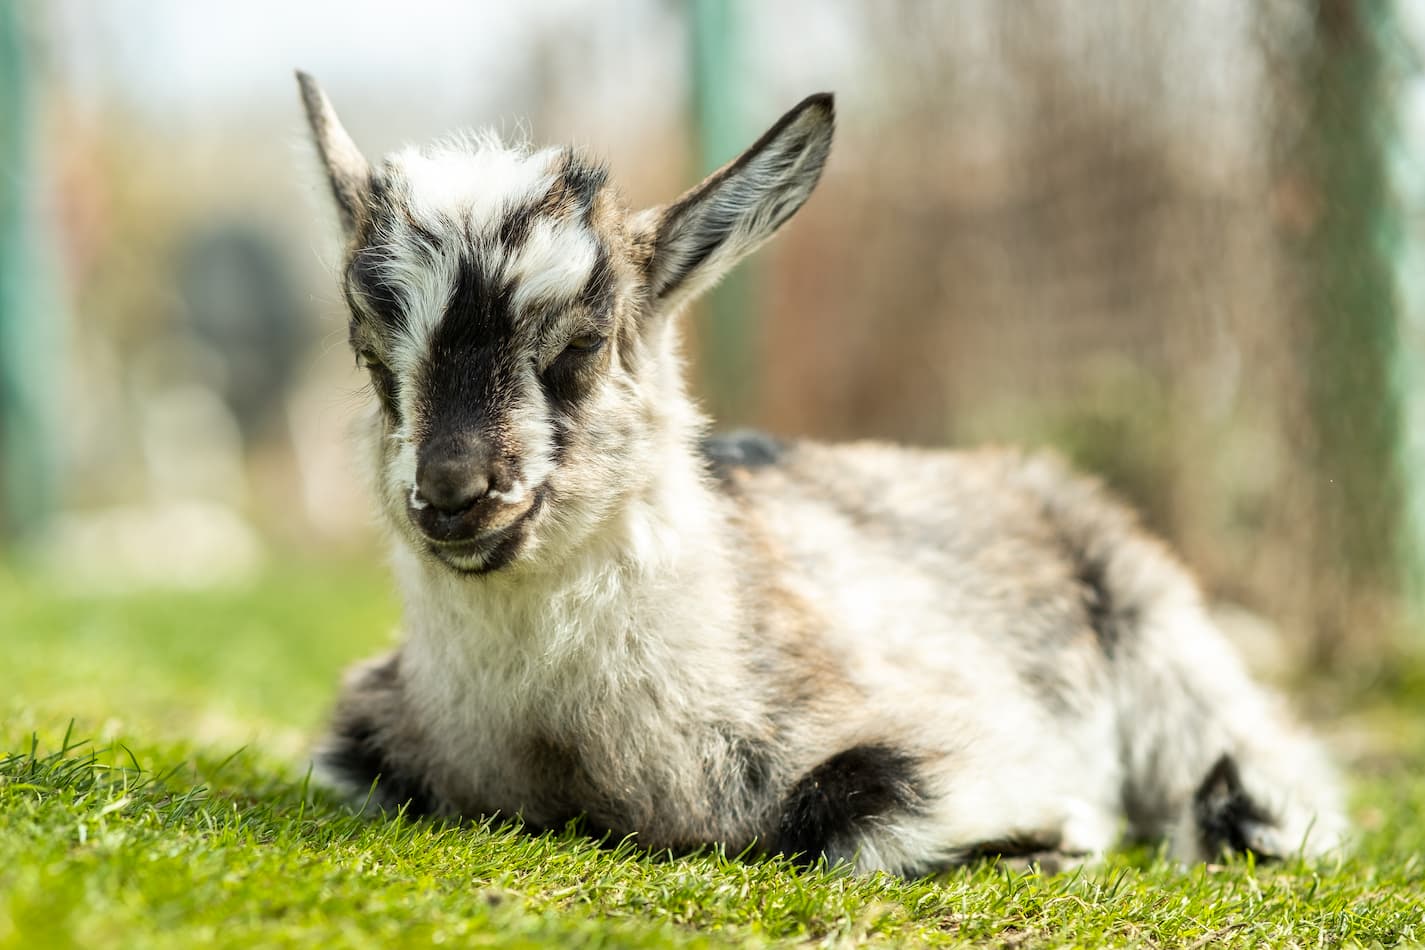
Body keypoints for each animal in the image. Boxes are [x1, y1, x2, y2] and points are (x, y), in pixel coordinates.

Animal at [296, 72, 1345, 875]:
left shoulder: (941, 739)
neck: (561, 752)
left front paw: (1059, 835)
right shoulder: (364, 733)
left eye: (582, 347)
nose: (452, 496)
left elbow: (860, 816)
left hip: (1162, 633)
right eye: (370, 359)